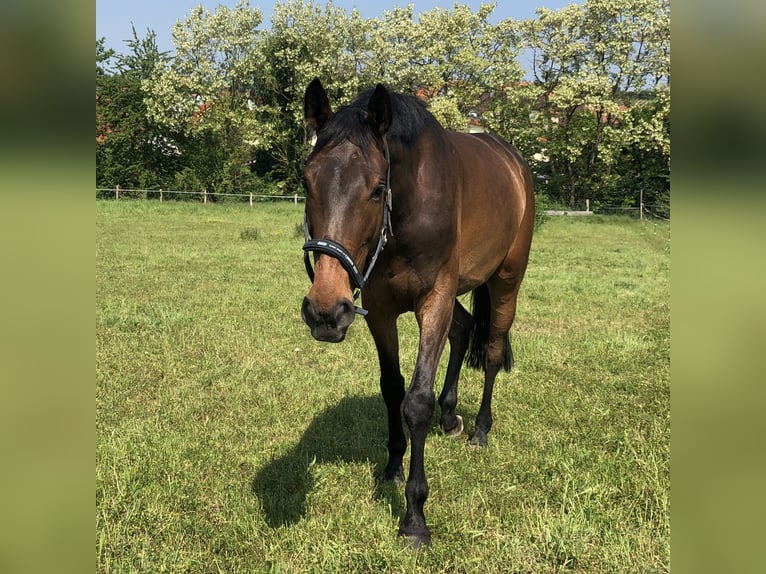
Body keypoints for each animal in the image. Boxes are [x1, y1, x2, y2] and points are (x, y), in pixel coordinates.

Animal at [298, 79, 536, 548]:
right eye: (307, 180)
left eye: (376, 188)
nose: (325, 311)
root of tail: (515, 164)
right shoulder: (379, 310)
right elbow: (392, 389)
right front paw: (392, 467)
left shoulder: (435, 299)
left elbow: (417, 402)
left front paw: (414, 517)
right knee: (463, 330)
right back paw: (451, 416)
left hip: (506, 281)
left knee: (492, 350)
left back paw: (480, 431)